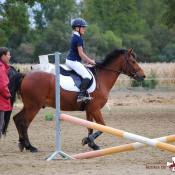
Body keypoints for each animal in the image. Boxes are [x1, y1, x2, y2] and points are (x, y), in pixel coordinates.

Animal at [10, 47, 146, 152]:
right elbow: (102, 125)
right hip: (33, 107)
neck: (102, 78)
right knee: (24, 123)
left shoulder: (89, 109)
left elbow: (90, 126)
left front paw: (92, 144)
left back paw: (22, 144)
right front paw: (86, 141)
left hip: (28, 106)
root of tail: (25, 76)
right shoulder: (95, 108)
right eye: (133, 61)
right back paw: (30, 147)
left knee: (17, 119)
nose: (143, 76)